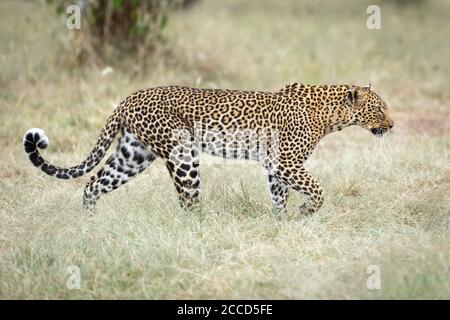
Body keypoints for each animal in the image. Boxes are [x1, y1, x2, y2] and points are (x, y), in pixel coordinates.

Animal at [22, 84, 394, 215]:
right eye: (380, 108)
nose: (392, 125)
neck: (331, 115)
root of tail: (128, 98)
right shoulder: (285, 162)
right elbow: (317, 190)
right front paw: (306, 212)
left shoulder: (276, 166)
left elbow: (279, 196)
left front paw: (282, 222)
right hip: (183, 153)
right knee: (188, 200)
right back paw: (200, 228)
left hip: (133, 155)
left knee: (93, 184)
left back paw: (90, 223)